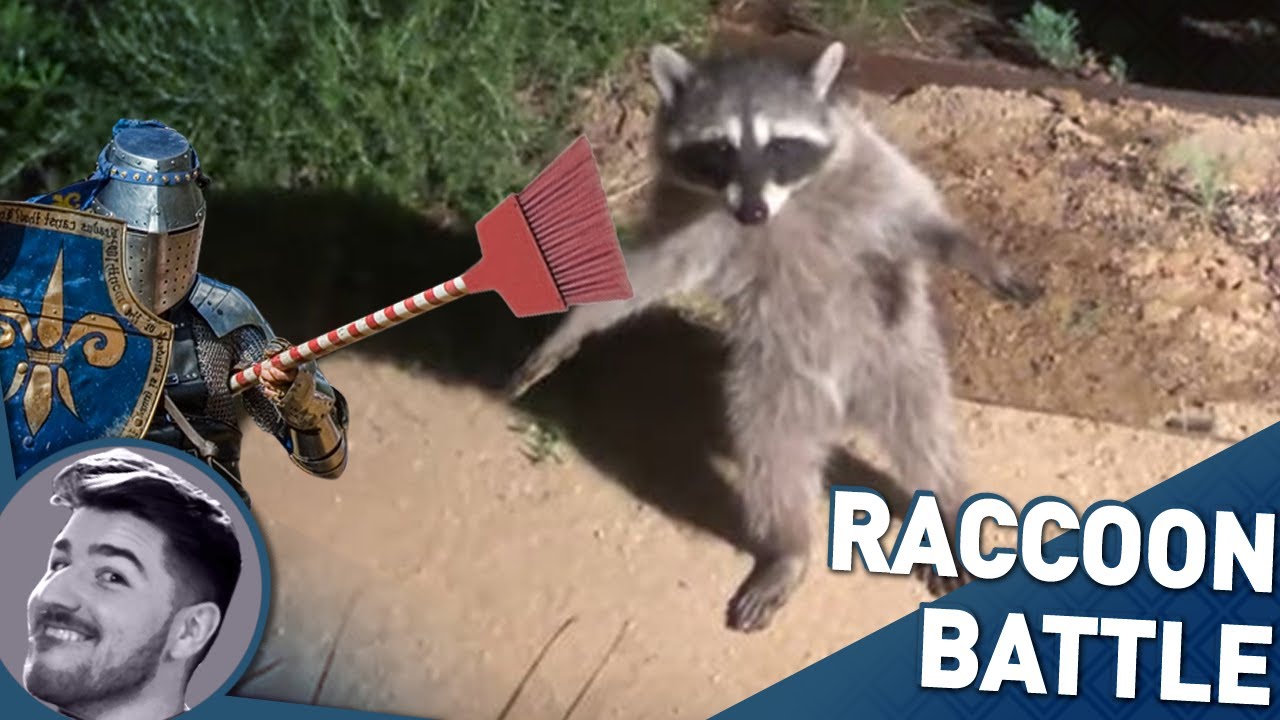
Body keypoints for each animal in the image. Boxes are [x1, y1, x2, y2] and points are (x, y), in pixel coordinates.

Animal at [508, 41, 1041, 632]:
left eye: (780, 145)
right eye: (719, 148)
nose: (751, 211)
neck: (784, 204)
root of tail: (842, 407)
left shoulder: (869, 167)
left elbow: (916, 218)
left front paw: (974, 253)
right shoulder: (690, 215)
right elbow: (648, 272)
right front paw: (576, 324)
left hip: (895, 357)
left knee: (924, 434)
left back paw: (947, 510)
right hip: (772, 384)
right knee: (774, 460)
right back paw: (790, 548)